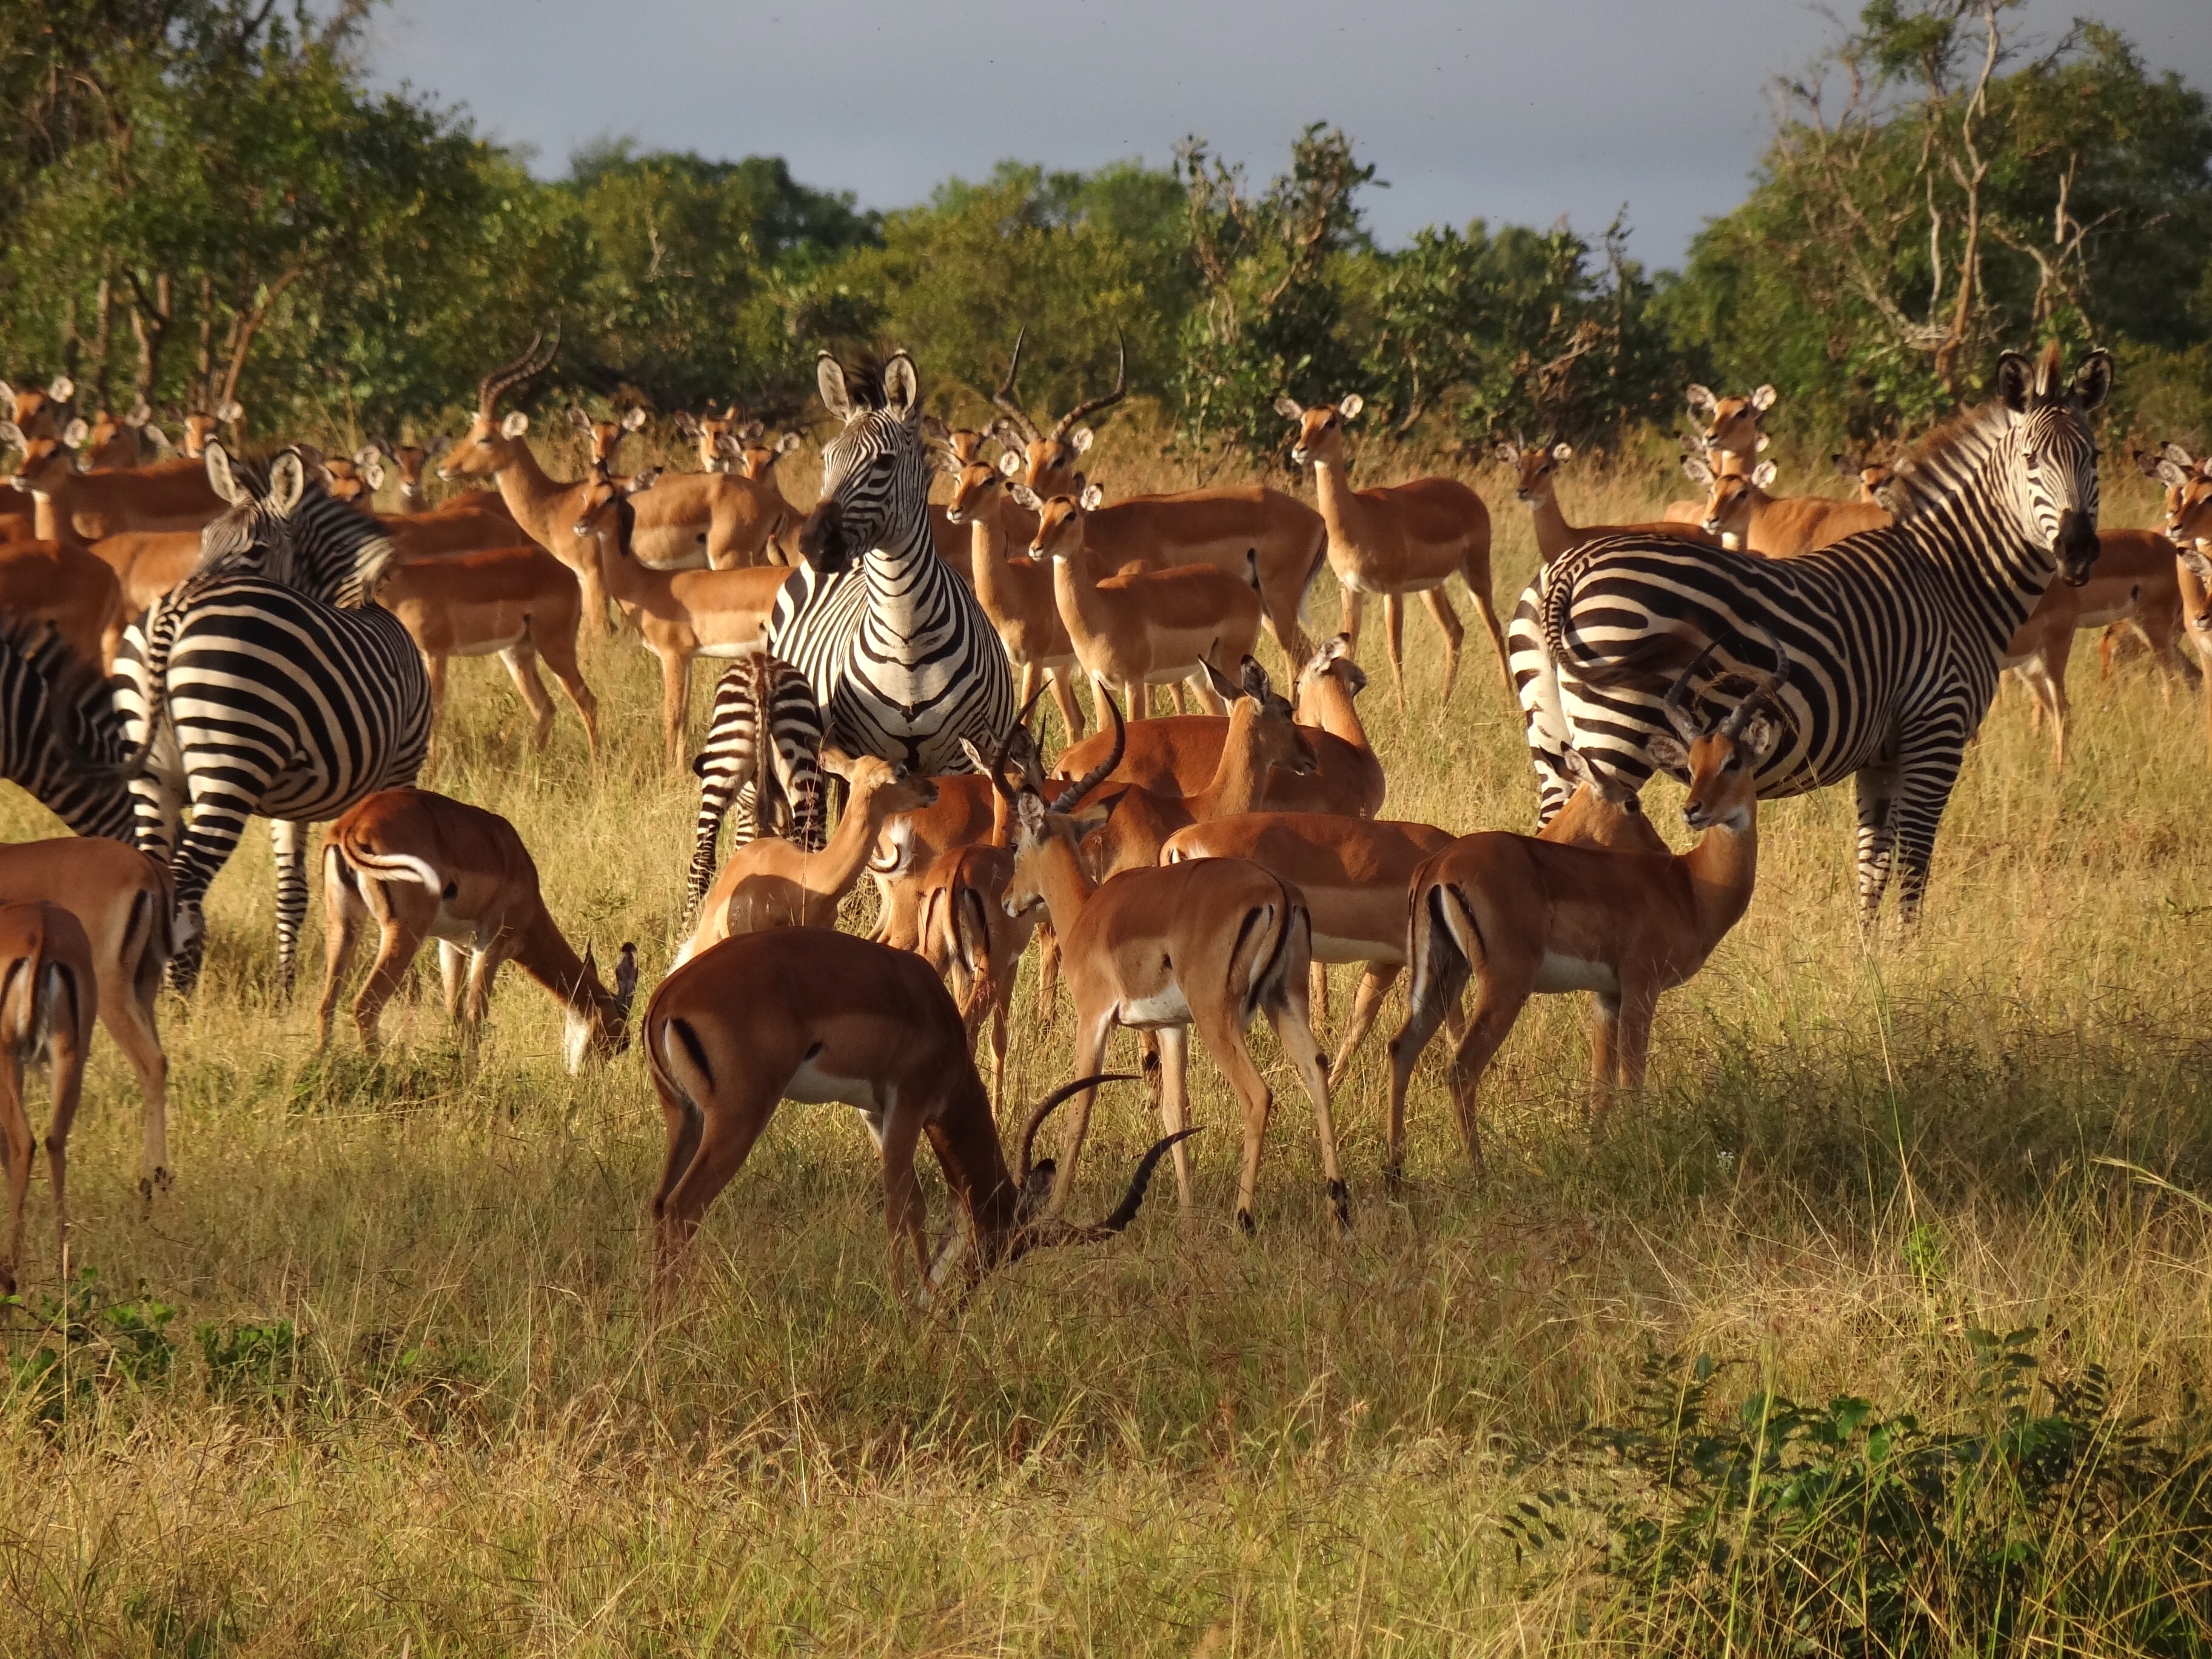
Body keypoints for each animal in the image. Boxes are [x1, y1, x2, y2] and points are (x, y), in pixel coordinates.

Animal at [114, 442, 434, 995]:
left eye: (256, 550)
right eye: (205, 540)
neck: (352, 600)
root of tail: (176, 609)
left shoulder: (293, 800)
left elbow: (291, 890)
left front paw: (285, 989)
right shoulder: (403, 767)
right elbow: (388, 875)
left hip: (155, 775)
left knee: (156, 870)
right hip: (229, 764)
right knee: (186, 880)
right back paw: (180, 993)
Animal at [756, 352, 1008, 779]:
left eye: (885, 462)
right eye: (825, 459)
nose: (814, 545)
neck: (906, 640)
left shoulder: (961, 761)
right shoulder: (859, 755)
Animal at [1521, 338, 2105, 924]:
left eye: (2094, 458)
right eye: (2031, 461)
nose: (2078, 550)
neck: (1953, 579)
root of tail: (1565, 568)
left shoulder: (1881, 757)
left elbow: (1873, 865)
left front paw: (1867, 947)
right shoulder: (1936, 733)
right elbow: (1913, 870)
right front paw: (1905, 945)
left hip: (1550, 733)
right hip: (1613, 734)